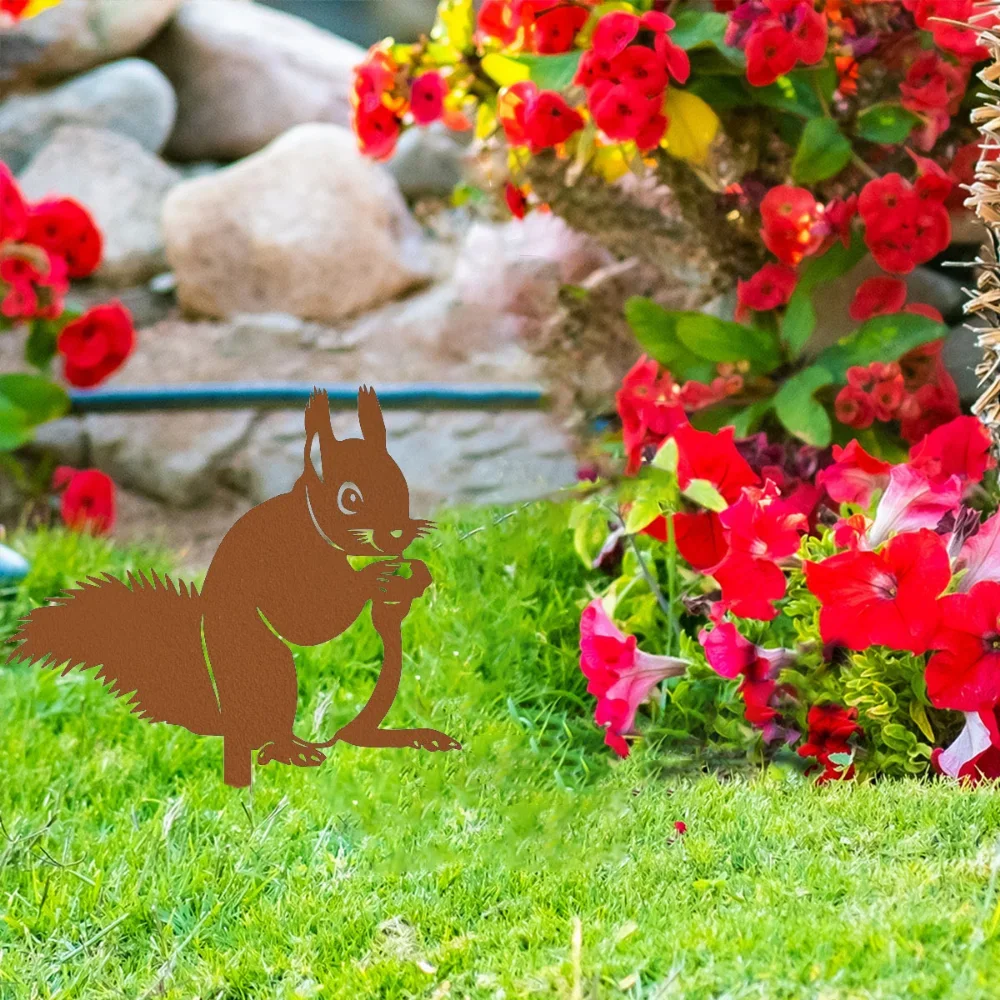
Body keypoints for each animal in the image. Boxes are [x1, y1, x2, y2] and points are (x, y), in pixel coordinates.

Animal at [5, 386, 462, 788]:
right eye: (349, 499)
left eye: (400, 482)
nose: (397, 534)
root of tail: (228, 718)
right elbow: (306, 622)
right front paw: (373, 578)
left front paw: (410, 576)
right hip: (270, 670)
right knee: (276, 739)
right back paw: (292, 749)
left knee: (356, 732)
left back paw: (414, 737)